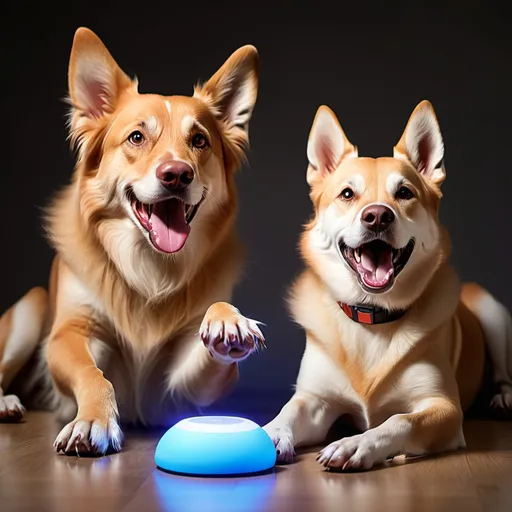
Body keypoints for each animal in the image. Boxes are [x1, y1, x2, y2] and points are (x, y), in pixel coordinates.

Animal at [0, 27, 264, 456]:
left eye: (200, 140)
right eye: (137, 137)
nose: (177, 174)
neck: (148, 268)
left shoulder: (172, 393)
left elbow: (212, 341)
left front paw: (229, 322)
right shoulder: (69, 335)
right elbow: (93, 375)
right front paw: (92, 420)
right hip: (32, 309)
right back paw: (7, 402)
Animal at [264, 102, 512, 470]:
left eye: (405, 193)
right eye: (347, 194)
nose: (378, 216)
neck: (372, 315)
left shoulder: (443, 407)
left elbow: (399, 421)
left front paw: (355, 444)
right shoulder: (315, 399)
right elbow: (287, 411)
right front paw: (268, 433)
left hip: (492, 311)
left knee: (504, 374)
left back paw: (503, 398)